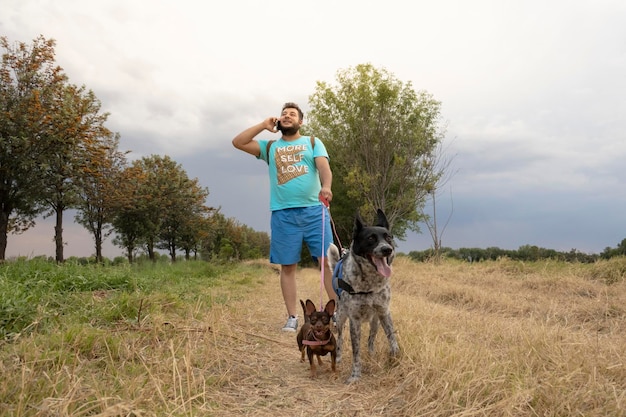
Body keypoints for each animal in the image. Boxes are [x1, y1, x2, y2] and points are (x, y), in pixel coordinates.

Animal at [330, 210, 398, 382]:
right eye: (371, 239)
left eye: (388, 237)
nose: (387, 249)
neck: (370, 283)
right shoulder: (354, 321)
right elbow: (356, 352)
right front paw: (355, 376)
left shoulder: (384, 312)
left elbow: (392, 338)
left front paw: (396, 356)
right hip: (340, 317)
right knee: (340, 338)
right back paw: (338, 357)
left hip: (375, 322)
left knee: (371, 340)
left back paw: (372, 354)